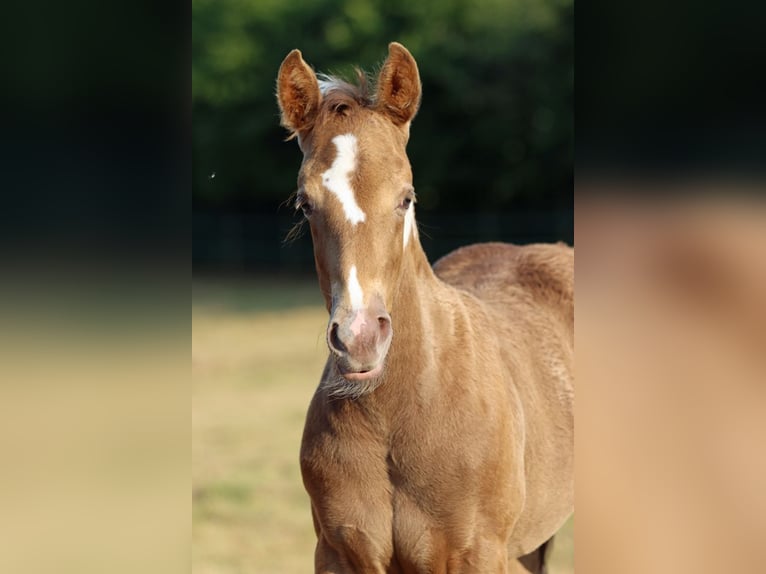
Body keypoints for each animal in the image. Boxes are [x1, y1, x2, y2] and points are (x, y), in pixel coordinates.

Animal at [276, 42, 573, 574]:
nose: (359, 339)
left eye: (406, 197)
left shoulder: (476, 555)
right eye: (304, 204)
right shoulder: (338, 553)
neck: (400, 413)